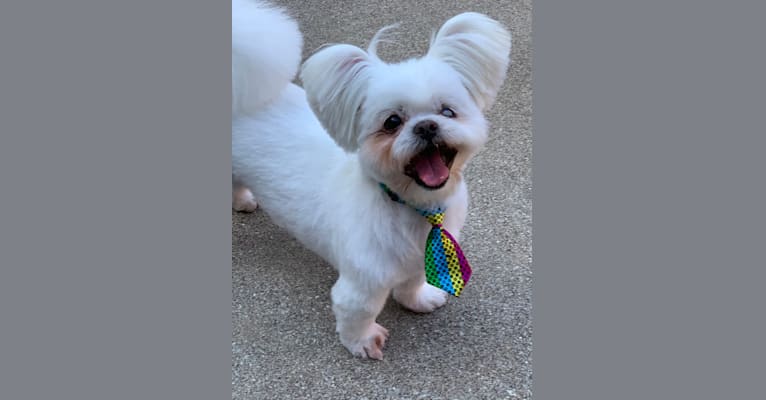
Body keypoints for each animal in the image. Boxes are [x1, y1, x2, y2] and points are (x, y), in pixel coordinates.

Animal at [231, 0, 512, 360]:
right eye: (392, 122)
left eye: (447, 111)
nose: (426, 126)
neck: (410, 206)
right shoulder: (361, 282)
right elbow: (358, 312)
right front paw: (363, 342)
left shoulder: (416, 259)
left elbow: (412, 281)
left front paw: (418, 298)